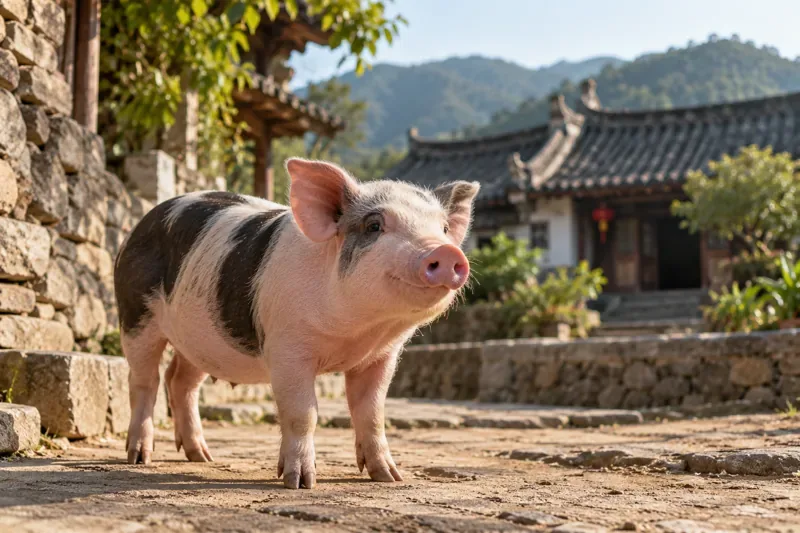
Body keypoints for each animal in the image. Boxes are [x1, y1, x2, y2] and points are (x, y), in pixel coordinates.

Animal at [114, 158, 480, 489]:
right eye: (374, 225)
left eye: (444, 229)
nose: (446, 251)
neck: (355, 334)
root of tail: (142, 223)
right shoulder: (287, 346)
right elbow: (303, 412)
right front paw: (300, 482)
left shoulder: (381, 356)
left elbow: (372, 412)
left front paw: (389, 477)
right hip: (135, 316)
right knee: (144, 381)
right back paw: (139, 458)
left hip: (202, 338)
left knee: (181, 381)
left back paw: (202, 456)